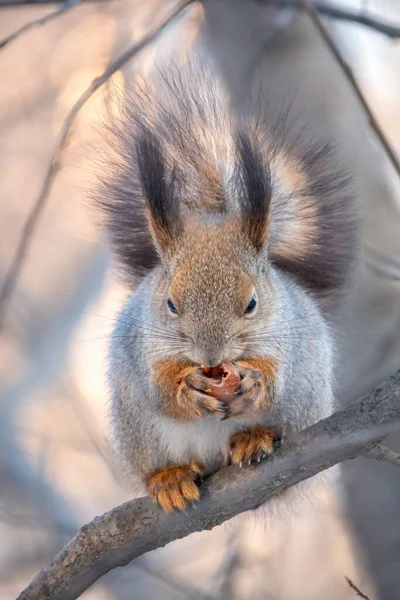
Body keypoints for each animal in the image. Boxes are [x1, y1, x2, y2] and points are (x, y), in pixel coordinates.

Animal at [99, 58, 356, 512]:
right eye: (170, 303)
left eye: (252, 302)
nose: (211, 356)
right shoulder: (141, 343)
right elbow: (160, 388)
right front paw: (187, 387)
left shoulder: (286, 338)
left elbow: (275, 376)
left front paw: (255, 383)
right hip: (137, 430)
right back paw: (169, 478)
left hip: (305, 403)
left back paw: (255, 437)